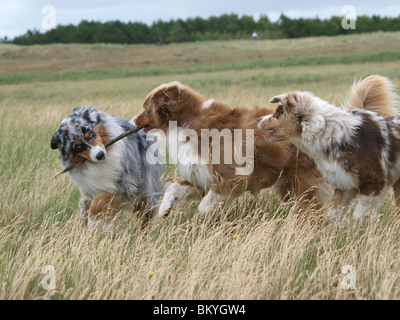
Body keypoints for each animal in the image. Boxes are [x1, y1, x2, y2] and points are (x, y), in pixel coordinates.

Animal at [135, 82, 334, 218]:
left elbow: (204, 206)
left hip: (304, 183)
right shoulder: (200, 178)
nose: (134, 120)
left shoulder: (230, 177)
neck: (188, 122)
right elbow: (174, 187)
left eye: (145, 108)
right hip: (287, 185)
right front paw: (164, 209)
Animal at [258, 75, 398, 222]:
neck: (329, 131)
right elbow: (335, 213)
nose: (258, 119)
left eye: (278, 113)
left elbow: (359, 214)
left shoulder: (374, 182)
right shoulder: (344, 183)